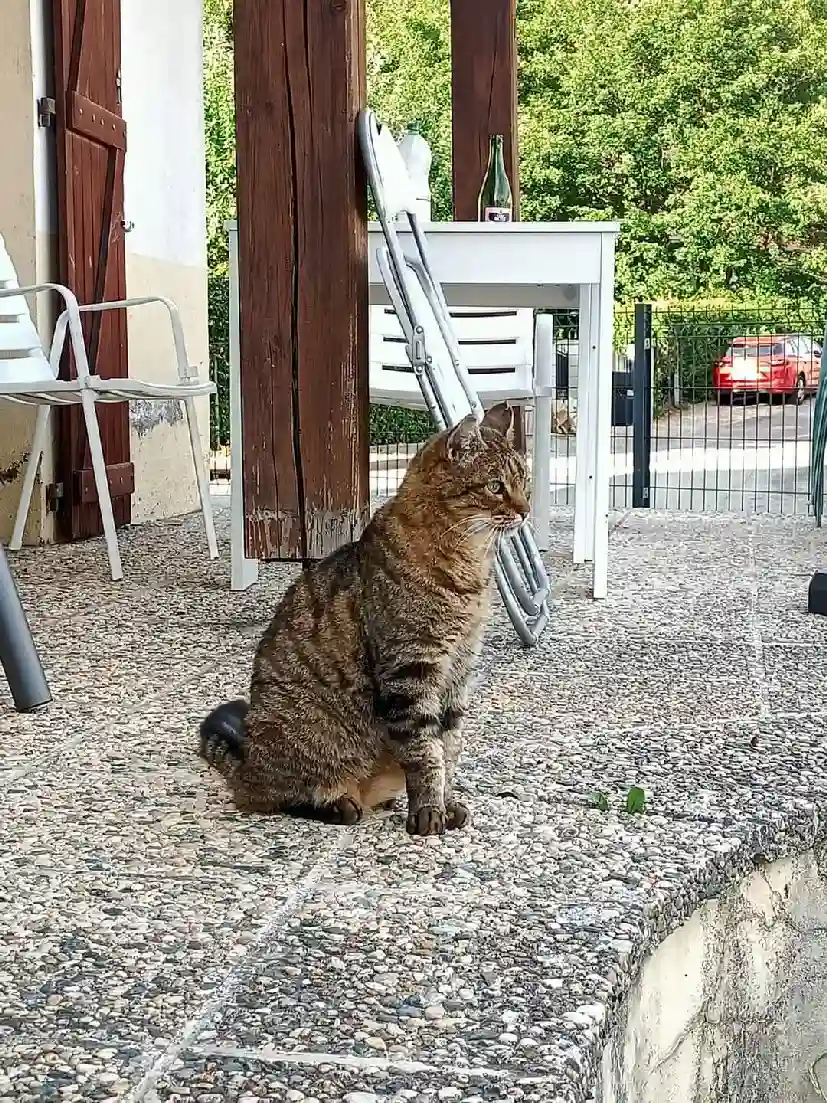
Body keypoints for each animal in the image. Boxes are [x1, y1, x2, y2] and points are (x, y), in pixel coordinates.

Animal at [197, 403, 527, 833]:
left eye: (524, 482)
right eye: (495, 486)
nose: (525, 511)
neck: (470, 568)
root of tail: (245, 762)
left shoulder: (458, 671)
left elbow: (449, 746)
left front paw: (447, 801)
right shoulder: (410, 669)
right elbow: (425, 752)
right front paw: (428, 810)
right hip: (306, 745)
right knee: (271, 797)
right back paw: (337, 804)